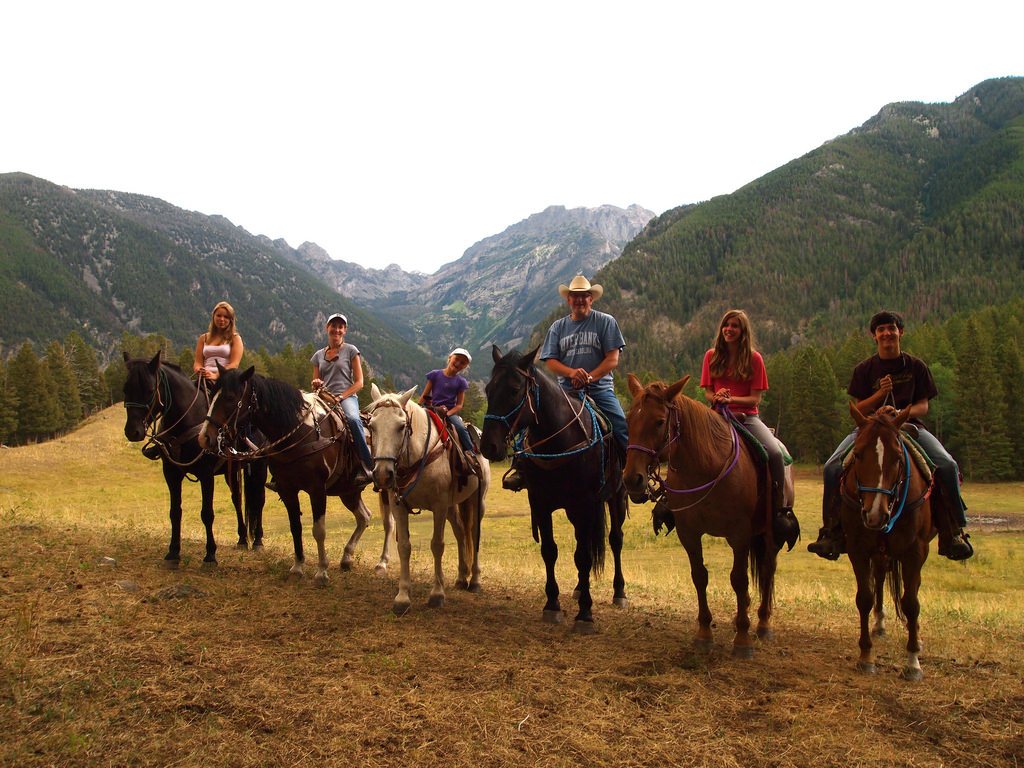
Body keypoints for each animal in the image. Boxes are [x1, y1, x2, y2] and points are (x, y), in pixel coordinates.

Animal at [120, 352, 268, 569]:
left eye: (149, 390)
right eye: (125, 389)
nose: (133, 431)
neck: (186, 420)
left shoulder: (206, 474)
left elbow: (207, 513)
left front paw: (210, 555)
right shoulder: (171, 473)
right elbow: (175, 511)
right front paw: (173, 552)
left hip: (259, 468)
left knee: (259, 501)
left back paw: (257, 540)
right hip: (232, 471)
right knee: (237, 499)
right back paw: (242, 539)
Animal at [618, 376, 786, 659]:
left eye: (659, 421)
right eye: (629, 420)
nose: (633, 479)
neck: (706, 468)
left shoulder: (739, 534)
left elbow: (739, 580)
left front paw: (743, 639)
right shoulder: (689, 533)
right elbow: (700, 576)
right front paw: (704, 633)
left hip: (768, 533)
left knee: (767, 568)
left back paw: (763, 623)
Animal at [839, 403, 937, 679]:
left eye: (897, 458)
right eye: (858, 454)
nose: (875, 514)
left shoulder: (916, 551)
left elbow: (911, 603)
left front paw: (913, 662)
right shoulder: (858, 548)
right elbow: (864, 597)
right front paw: (866, 656)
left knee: (912, 589)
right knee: (881, 577)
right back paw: (880, 624)